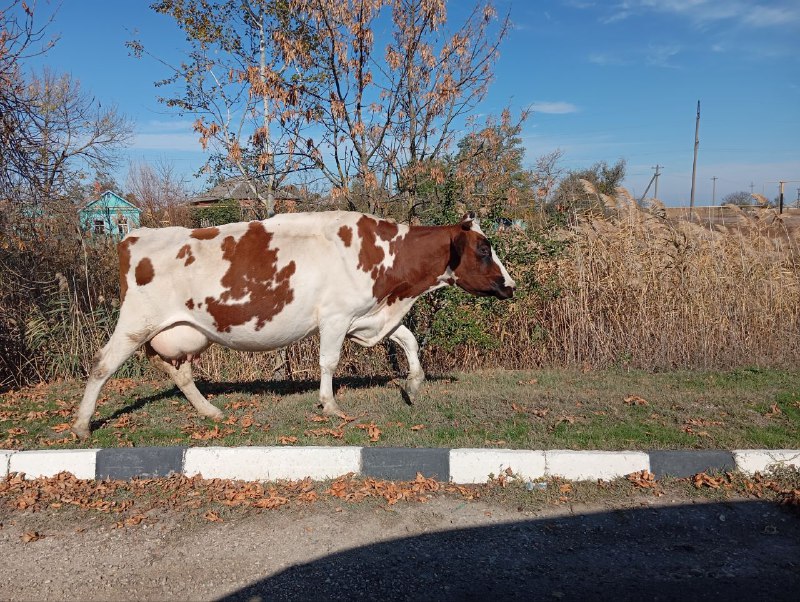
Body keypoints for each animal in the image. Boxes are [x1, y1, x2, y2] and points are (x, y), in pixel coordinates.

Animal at [72, 209, 516, 434]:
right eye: (484, 249)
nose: (510, 285)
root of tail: (134, 235)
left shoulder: (367, 316)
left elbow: (408, 341)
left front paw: (412, 386)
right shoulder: (336, 316)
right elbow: (329, 362)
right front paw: (330, 406)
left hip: (182, 333)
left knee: (179, 372)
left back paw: (210, 412)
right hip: (136, 322)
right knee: (102, 364)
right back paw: (81, 424)